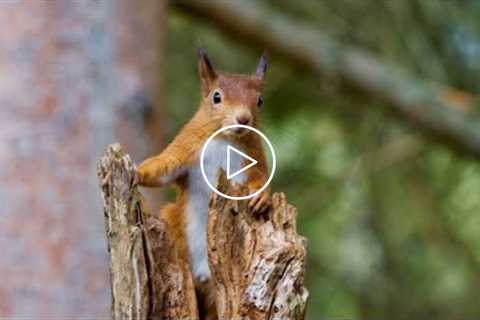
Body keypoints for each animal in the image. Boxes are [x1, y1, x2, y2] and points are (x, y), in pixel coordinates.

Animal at [137, 48, 272, 318]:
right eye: (216, 97)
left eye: (260, 100)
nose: (243, 118)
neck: (224, 138)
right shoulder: (186, 148)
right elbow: (165, 166)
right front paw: (138, 171)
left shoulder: (255, 157)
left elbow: (261, 178)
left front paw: (262, 196)